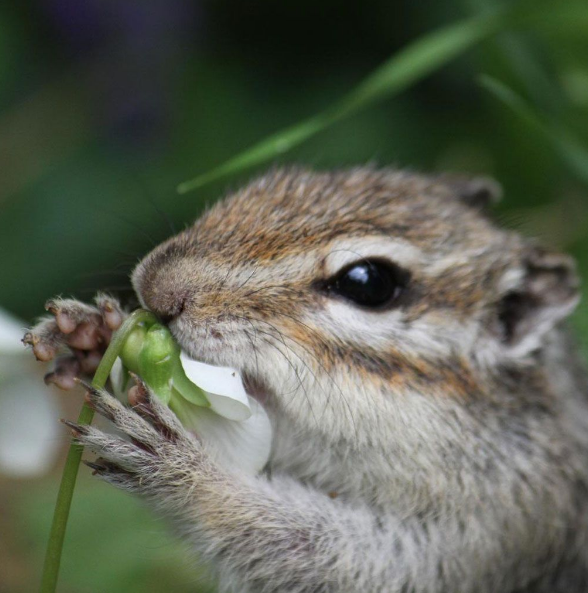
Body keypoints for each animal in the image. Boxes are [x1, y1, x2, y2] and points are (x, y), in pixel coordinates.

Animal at [25, 168, 588, 592]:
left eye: (369, 282)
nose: (156, 286)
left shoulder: (499, 527)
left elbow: (333, 562)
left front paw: (188, 470)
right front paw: (92, 333)